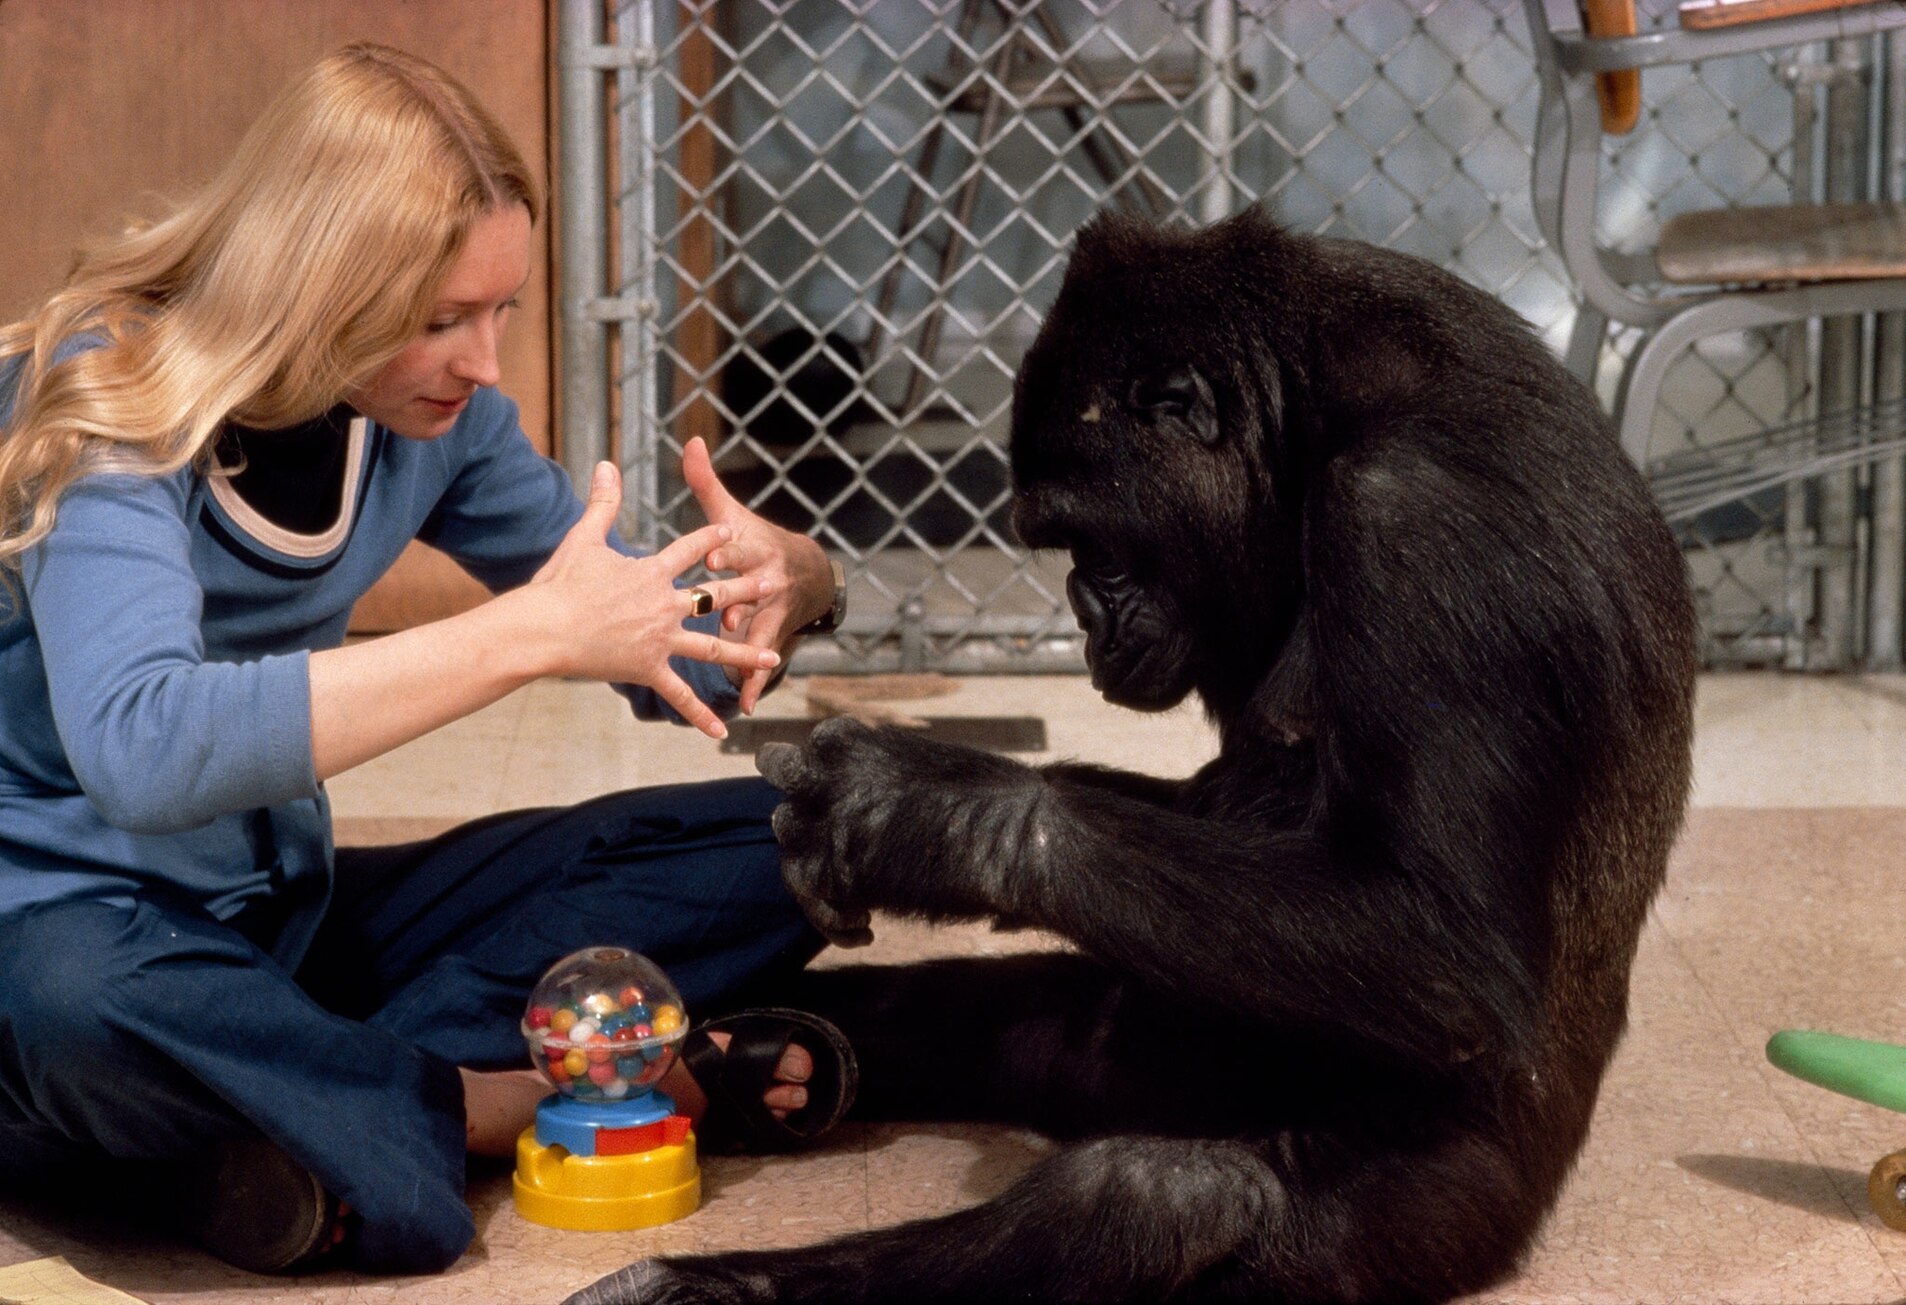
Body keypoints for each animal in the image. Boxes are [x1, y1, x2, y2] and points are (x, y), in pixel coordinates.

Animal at [566, 206, 1698, 1305]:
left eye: (1093, 546)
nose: (1084, 614)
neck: (1321, 417)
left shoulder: (1422, 523)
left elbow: (1440, 941)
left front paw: (918, 814)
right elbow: (1213, 803)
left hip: (1462, 1207)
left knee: (1154, 1197)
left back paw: (716, 1275)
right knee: (1019, 1025)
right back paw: (781, 1062)